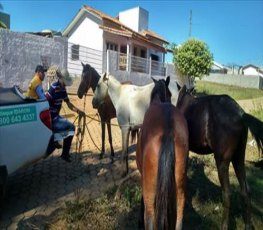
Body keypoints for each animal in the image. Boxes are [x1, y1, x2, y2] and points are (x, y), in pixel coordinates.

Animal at [136, 77, 190, 230]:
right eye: (170, 94)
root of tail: (168, 129)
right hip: (180, 185)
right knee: (180, 214)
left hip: (150, 190)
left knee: (149, 216)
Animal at [176, 85, 263, 229]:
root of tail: (240, 114)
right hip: (239, 158)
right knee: (245, 190)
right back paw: (247, 225)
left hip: (222, 161)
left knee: (227, 193)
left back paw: (224, 226)